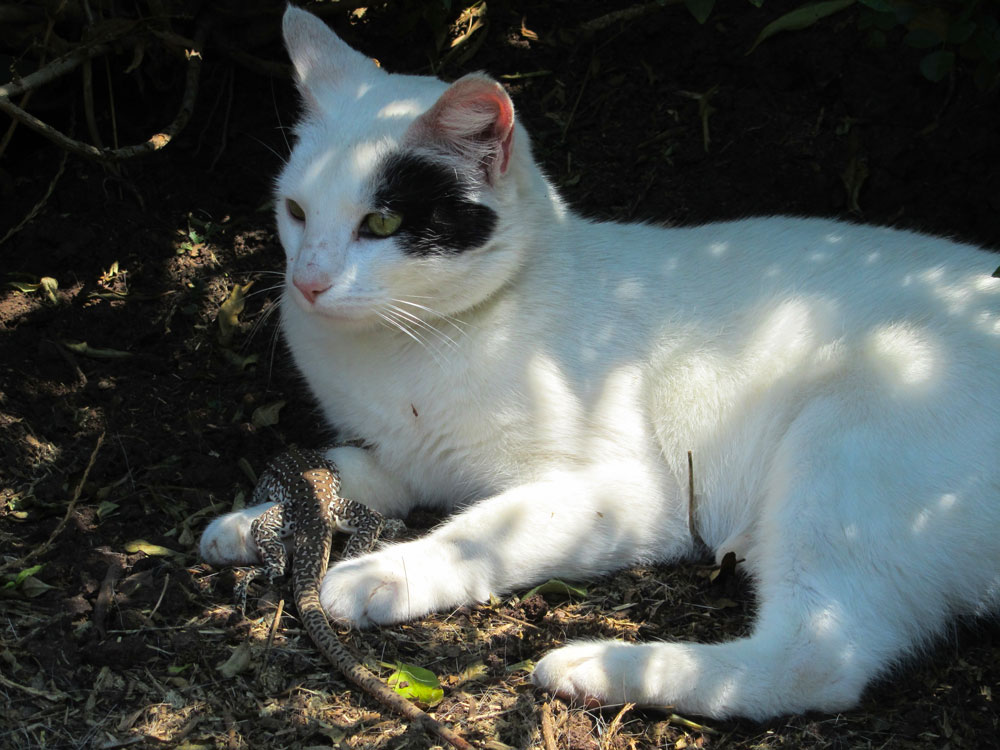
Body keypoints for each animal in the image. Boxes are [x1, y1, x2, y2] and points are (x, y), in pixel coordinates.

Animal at [199, 7, 1000, 724]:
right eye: (296, 212)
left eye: (383, 224)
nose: (306, 282)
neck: (409, 347)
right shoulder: (411, 457)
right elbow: (349, 471)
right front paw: (251, 523)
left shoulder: (639, 493)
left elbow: (484, 529)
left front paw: (385, 571)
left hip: (864, 417)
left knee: (820, 659)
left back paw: (602, 667)